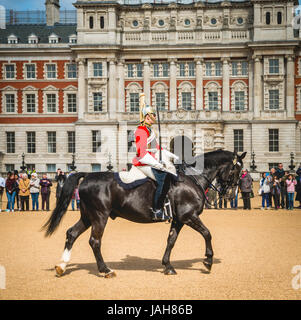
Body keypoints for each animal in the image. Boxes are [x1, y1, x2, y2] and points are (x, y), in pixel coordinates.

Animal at [44, 150, 246, 278]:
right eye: (236, 169)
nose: (229, 194)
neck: (192, 179)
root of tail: (88, 175)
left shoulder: (179, 220)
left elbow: (171, 241)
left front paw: (168, 265)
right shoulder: (189, 217)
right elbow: (207, 233)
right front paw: (208, 261)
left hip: (88, 217)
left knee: (72, 233)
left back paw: (62, 266)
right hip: (99, 217)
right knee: (95, 242)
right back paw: (106, 270)